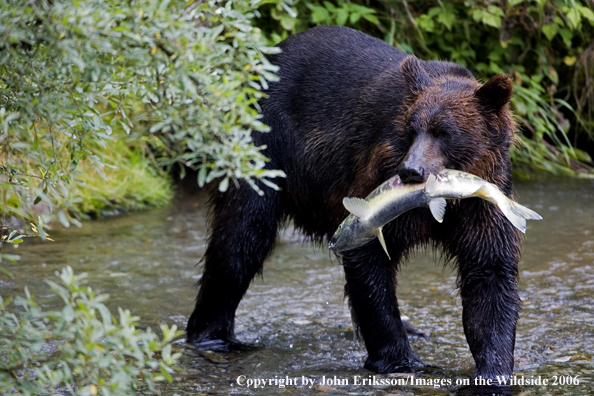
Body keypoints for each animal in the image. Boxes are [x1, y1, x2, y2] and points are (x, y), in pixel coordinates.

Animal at [186, 25, 520, 380]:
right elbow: (368, 259)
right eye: (411, 129)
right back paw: (215, 336)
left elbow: (490, 273)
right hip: (263, 147)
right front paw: (401, 359)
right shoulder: (379, 178)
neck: (444, 202)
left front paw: (493, 369)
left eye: (445, 132)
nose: (411, 170)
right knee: (241, 240)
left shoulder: (485, 200)